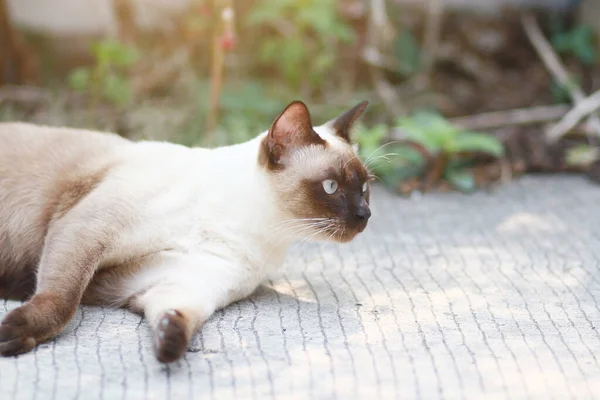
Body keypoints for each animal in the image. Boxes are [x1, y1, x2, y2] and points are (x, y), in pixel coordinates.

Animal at [0, 99, 370, 362]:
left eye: (365, 188)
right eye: (331, 186)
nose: (365, 214)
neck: (253, 227)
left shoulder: (180, 282)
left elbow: (177, 314)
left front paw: (170, 343)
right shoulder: (90, 229)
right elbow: (63, 300)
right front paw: (15, 334)